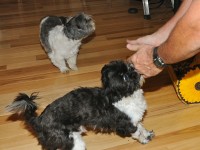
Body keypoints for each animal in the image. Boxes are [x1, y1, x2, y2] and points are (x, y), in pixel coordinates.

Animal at [5, 60, 153, 149]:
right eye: (124, 77)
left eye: (129, 67)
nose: (135, 72)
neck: (122, 96)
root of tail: (39, 120)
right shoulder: (127, 124)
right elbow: (137, 131)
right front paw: (143, 139)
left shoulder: (135, 119)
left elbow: (141, 127)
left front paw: (147, 134)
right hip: (72, 141)